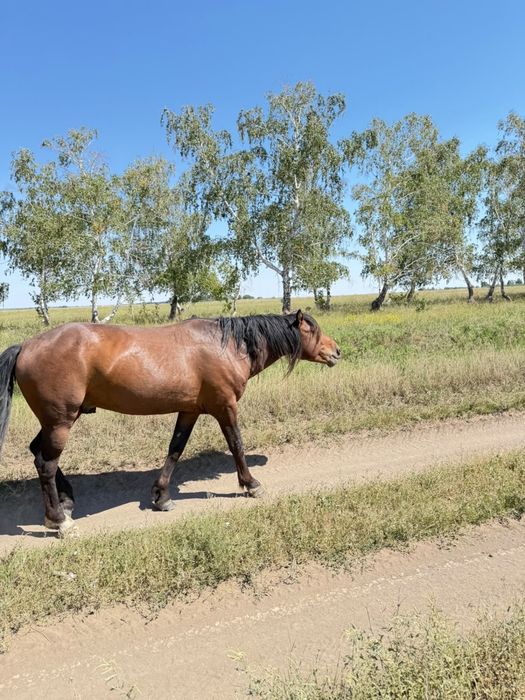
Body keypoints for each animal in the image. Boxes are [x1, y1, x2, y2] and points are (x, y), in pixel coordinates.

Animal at [0, 310, 341, 537]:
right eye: (311, 330)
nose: (336, 351)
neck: (227, 346)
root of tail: (26, 345)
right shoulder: (224, 406)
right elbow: (237, 445)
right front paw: (251, 484)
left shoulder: (189, 411)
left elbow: (175, 450)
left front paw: (161, 497)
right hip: (61, 421)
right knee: (45, 464)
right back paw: (59, 520)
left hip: (54, 420)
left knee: (37, 452)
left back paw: (66, 501)